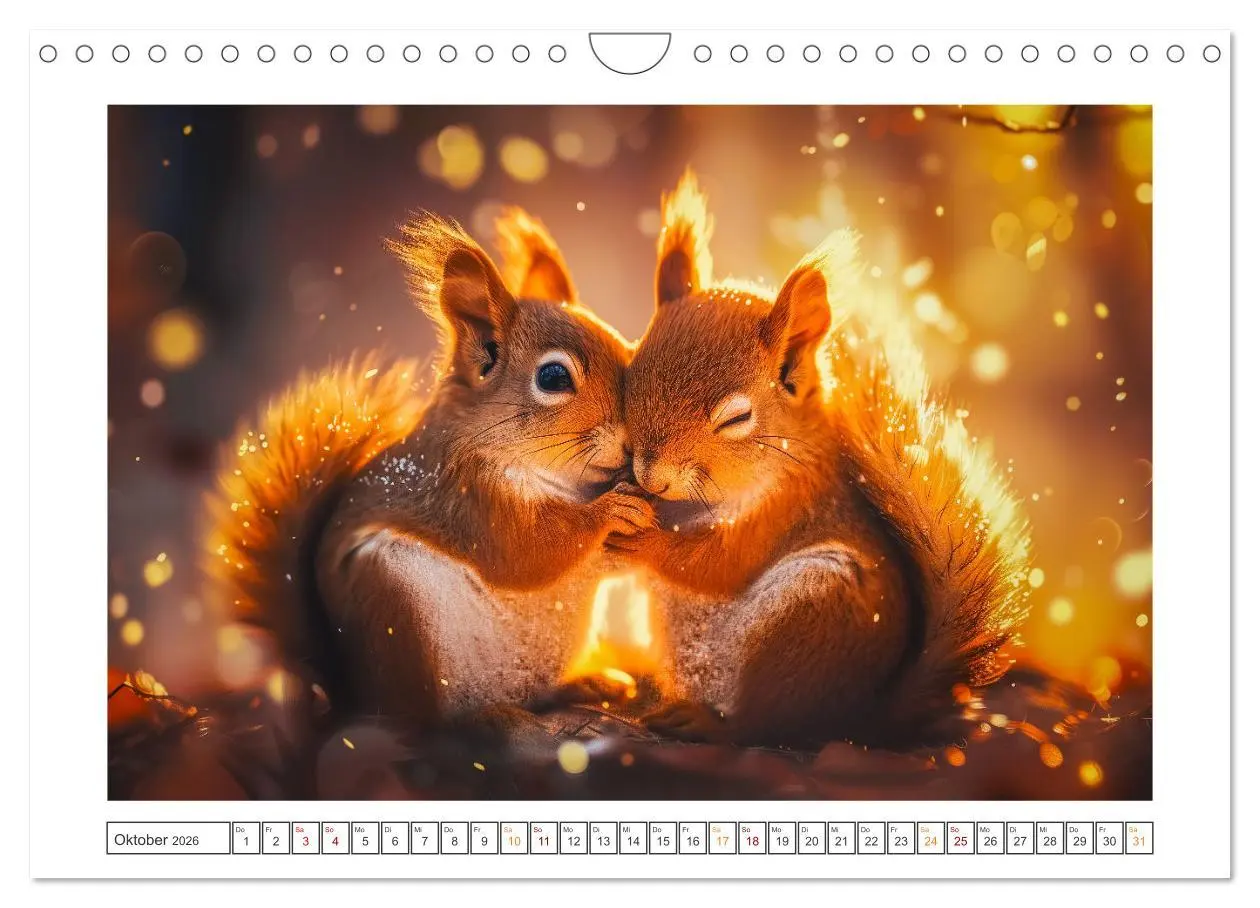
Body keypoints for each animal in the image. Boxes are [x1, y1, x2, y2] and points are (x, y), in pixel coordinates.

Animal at [204, 208, 652, 723]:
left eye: (625, 344)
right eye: (554, 377)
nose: (635, 443)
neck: (565, 483)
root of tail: (353, 696)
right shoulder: (470, 499)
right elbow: (529, 551)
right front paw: (610, 511)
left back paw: (587, 683)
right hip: (395, 608)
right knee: (425, 719)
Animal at [615, 171, 1033, 747]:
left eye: (736, 418)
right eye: (632, 367)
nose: (650, 474)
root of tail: (858, 717)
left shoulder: (785, 508)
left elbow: (717, 565)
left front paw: (646, 541)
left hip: (807, 617)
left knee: (761, 725)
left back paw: (702, 721)